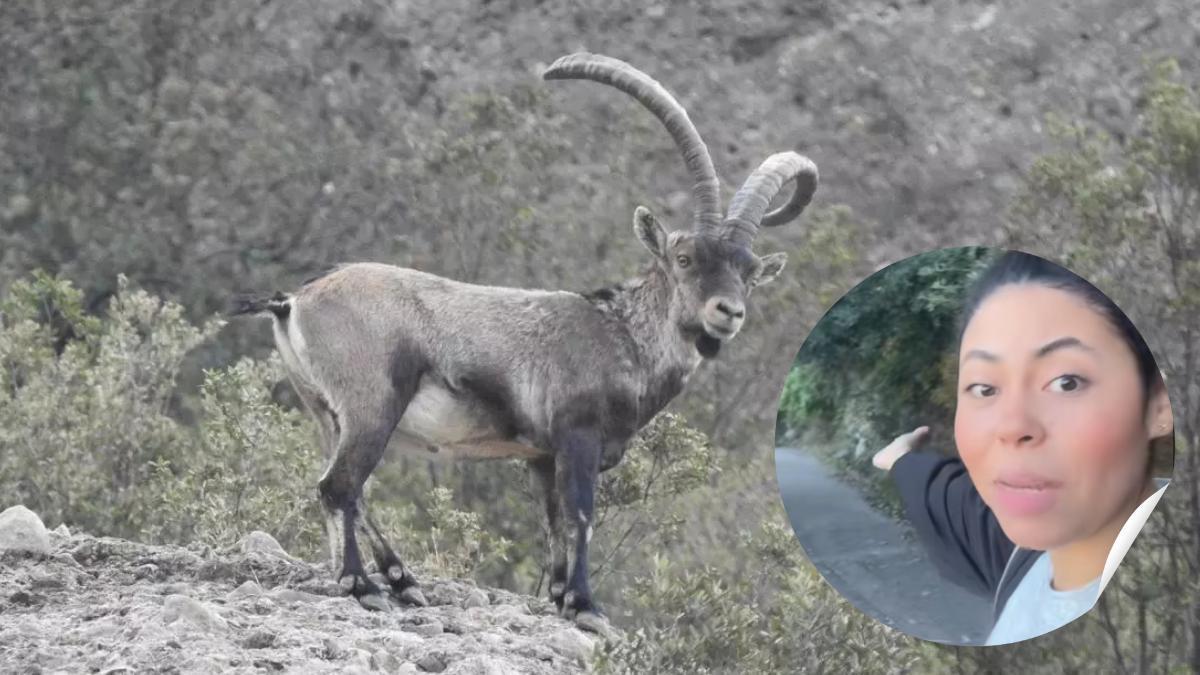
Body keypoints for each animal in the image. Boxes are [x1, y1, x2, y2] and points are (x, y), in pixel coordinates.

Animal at [232, 52, 818, 632]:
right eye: (684, 257)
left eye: (748, 273)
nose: (728, 312)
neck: (624, 335)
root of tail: (294, 301)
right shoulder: (578, 436)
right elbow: (580, 515)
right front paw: (586, 606)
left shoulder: (541, 455)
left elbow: (553, 520)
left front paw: (560, 594)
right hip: (372, 404)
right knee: (339, 486)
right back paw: (363, 585)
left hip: (326, 412)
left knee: (352, 488)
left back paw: (401, 580)